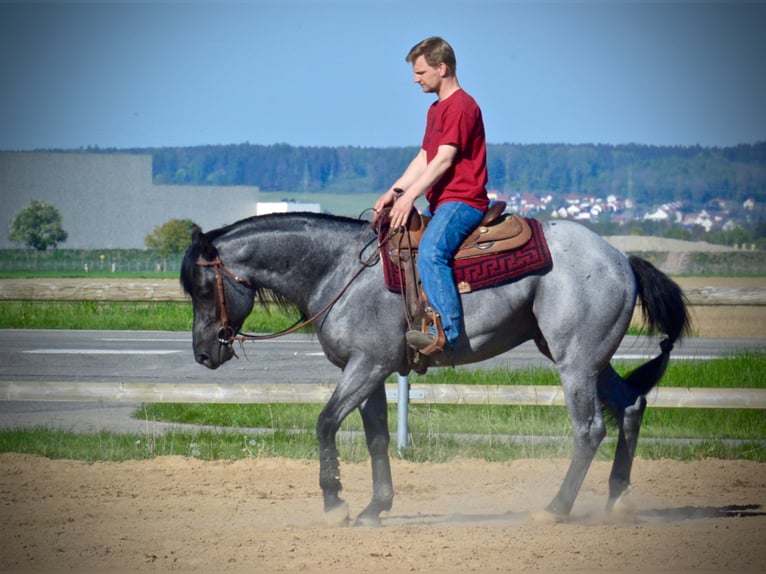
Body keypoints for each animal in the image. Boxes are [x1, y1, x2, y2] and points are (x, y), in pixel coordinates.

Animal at [180, 211, 690, 526]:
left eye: (203, 289)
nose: (203, 353)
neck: (340, 270)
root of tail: (621, 258)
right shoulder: (372, 371)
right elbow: (377, 437)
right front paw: (375, 508)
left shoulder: (367, 366)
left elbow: (325, 423)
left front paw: (335, 504)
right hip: (586, 359)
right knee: (631, 406)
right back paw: (617, 500)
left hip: (575, 362)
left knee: (589, 430)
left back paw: (556, 508)